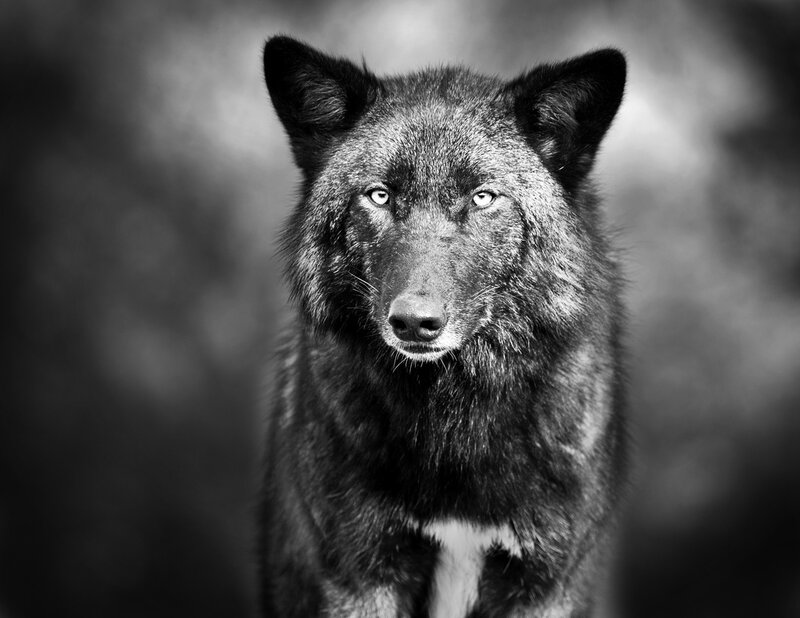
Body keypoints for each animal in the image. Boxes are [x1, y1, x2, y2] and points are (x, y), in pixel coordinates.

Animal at [259, 35, 627, 618]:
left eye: (482, 197)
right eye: (380, 195)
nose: (414, 322)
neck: (452, 423)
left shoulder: (544, 586)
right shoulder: (361, 576)